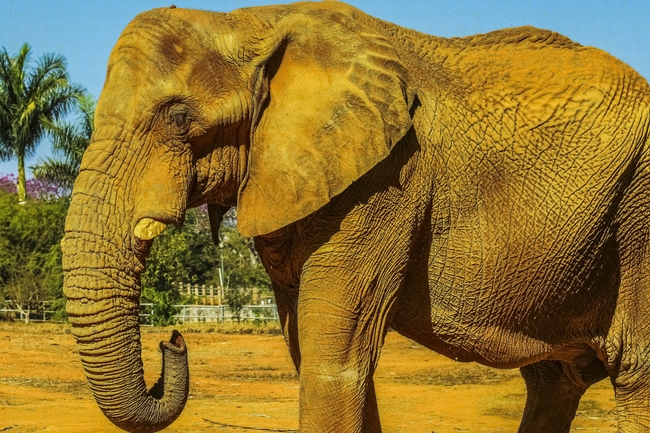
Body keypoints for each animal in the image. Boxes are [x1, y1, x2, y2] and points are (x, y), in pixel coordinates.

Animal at [62, 1, 650, 432]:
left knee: (633, 369)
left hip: (638, 209)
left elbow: (335, 359)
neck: (247, 22)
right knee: (554, 379)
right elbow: (316, 352)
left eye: (180, 117)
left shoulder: (387, 179)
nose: (173, 339)